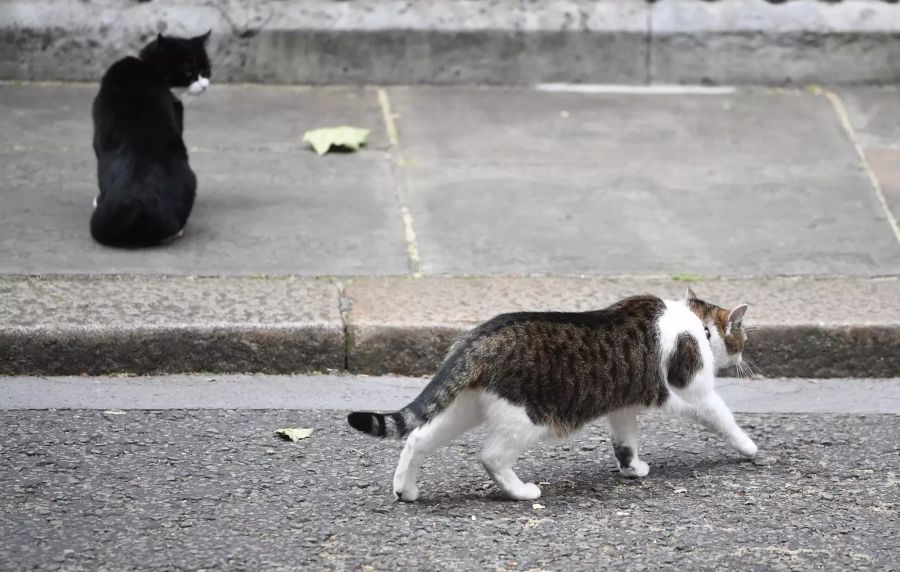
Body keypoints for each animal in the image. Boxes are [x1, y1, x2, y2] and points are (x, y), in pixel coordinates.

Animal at [348, 290, 756, 500]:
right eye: (743, 335)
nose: (743, 357)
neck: (695, 323)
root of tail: (477, 339)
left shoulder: (622, 405)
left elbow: (626, 442)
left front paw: (632, 469)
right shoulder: (694, 389)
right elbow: (722, 416)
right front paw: (749, 447)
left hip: (464, 407)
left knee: (418, 437)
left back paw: (406, 489)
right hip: (528, 417)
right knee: (491, 456)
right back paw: (521, 492)